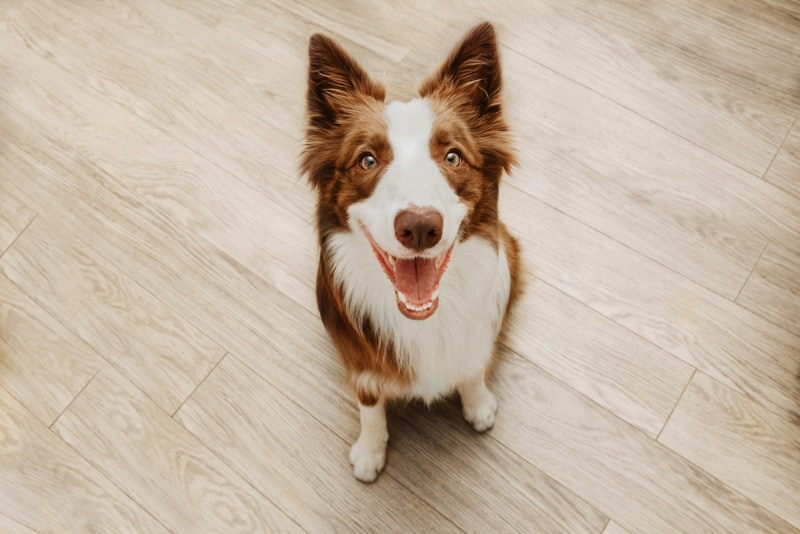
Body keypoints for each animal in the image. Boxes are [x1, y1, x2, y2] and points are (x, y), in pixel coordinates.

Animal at [300, 22, 520, 486]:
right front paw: (370, 451)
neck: (422, 320)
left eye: (452, 156)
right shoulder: (360, 363)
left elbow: (473, 369)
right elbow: (369, 403)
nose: (419, 226)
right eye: (367, 160)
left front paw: (478, 406)